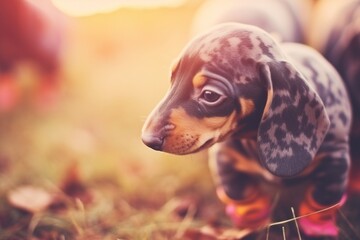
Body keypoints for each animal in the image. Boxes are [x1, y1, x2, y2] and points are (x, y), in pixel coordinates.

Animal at [142, 23, 350, 237]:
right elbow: (246, 201)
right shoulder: (226, 162)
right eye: (172, 79)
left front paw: (320, 231)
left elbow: (320, 204)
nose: (148, 139)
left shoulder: (335, 162)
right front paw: (252, 228)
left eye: (210, 95)